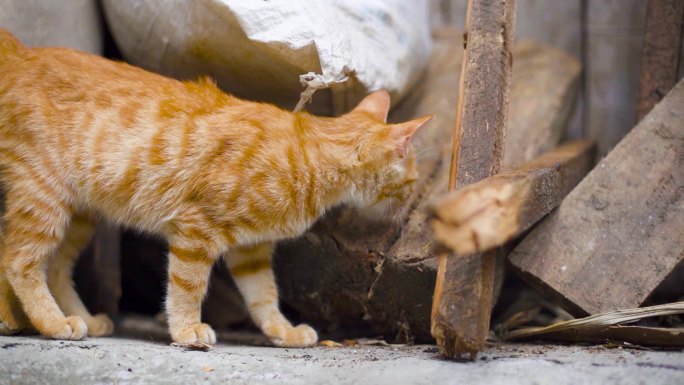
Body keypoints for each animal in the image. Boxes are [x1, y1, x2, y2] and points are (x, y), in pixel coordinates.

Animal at [0, 27, 430, 344]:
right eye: (411, 177)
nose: (413, 196)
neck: (311, 156)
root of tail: (24, 52)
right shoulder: (195, 231)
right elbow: (187, 288)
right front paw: (186, 330)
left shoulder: (252, 250)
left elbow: (264, 296)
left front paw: (283, 331)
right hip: (44, 197)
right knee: (18, 260)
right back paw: (52, 323)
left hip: (78, 215)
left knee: (52, 265)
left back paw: (79, 317)